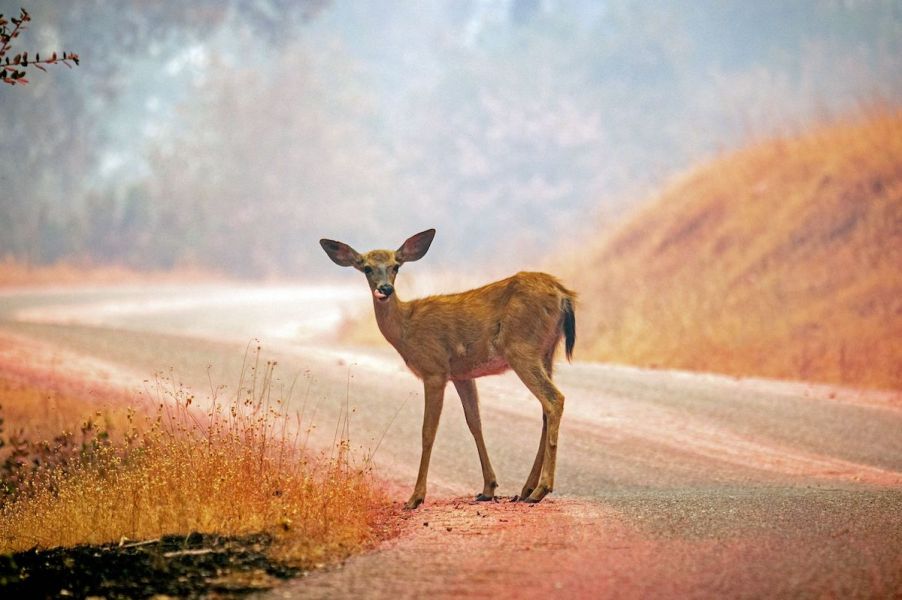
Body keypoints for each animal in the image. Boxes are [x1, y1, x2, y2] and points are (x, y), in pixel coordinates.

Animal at [320, 229, 575, 509]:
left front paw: (416, 497)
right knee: (545, 410)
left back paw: (541, 489)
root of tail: (563, 294)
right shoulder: (462, 374)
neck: (406, 329)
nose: (385, 288)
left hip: (521, 348)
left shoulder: (434, 369)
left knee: (555, 399)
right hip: (547, 352)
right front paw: (488, 488)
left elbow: (427, 432)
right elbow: (474, 422)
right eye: (366, 268)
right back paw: (526, 488)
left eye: (396, 266)